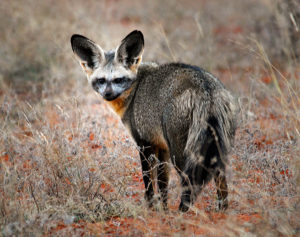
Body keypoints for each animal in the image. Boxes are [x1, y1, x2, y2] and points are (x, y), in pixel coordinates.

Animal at [70, 30, 237, 213]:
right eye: (101, 80)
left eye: (118, 80)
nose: (107, 94)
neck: (135, 90)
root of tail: (204, 86)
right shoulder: (161, 146)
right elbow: (163, 183)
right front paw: (164, 210)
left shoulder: (144, 143)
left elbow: (148, 182)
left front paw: (150, 208)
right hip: (213, 150)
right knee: (221, 180)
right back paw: (222, 210)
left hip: (180, 153)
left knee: (190, 181)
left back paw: (183, 212)